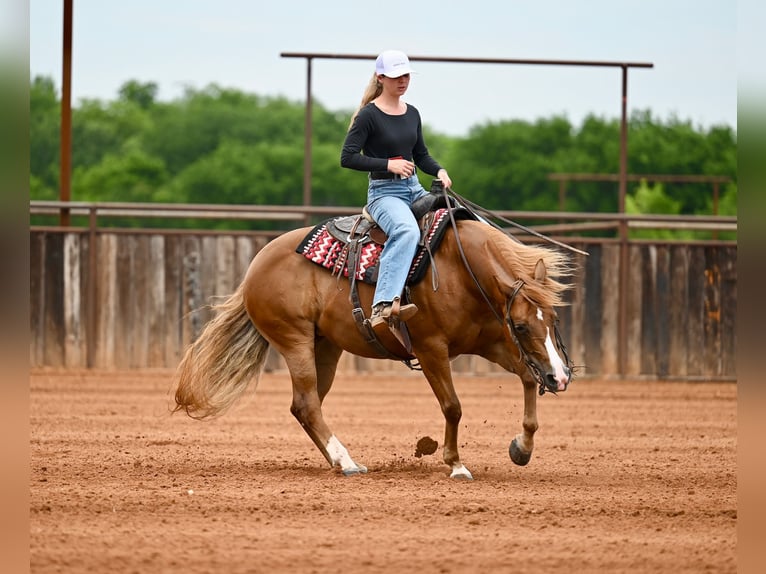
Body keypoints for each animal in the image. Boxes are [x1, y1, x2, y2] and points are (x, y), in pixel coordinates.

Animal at [173, 214, 574, 480]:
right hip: (294, 340)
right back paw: (347, 462)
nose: (561, 378)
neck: (461, 268)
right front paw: (455, 463)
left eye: (553, 319)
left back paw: (338, 460)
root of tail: (256, 267)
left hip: (325, 347)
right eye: (520, 325)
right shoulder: (431, 349)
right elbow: (453, 406)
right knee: (307, 403)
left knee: (305, 405)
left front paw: (522, 448)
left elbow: (527, 376)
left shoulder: (491, 342)